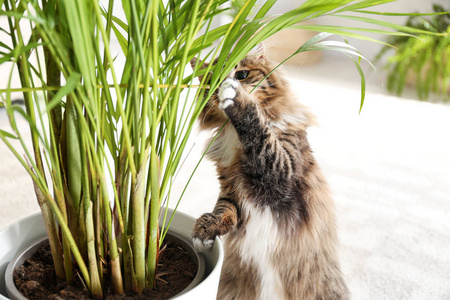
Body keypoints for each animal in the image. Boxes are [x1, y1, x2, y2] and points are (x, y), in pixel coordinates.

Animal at [190, 44, 348, 300]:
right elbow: (224, 210)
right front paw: (205, 230)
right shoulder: (231, 188)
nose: (224, 84)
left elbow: (258, 130)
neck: (236, 137)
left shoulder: (281, 175)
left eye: (242, 74)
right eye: (211, 81)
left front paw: (236, 98)